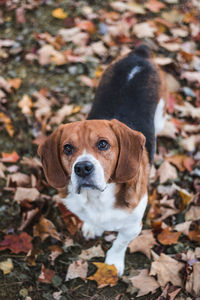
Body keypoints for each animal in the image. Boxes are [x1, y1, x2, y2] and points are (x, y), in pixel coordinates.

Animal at [37, 43, 167, 276]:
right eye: (67, 148)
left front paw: (113, 263)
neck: (98, 198)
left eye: (103, 144)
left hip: (160, 114)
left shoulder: (132, 227)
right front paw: (93, 227)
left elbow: (119, 244)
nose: (83, 168)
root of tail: (140, 53)